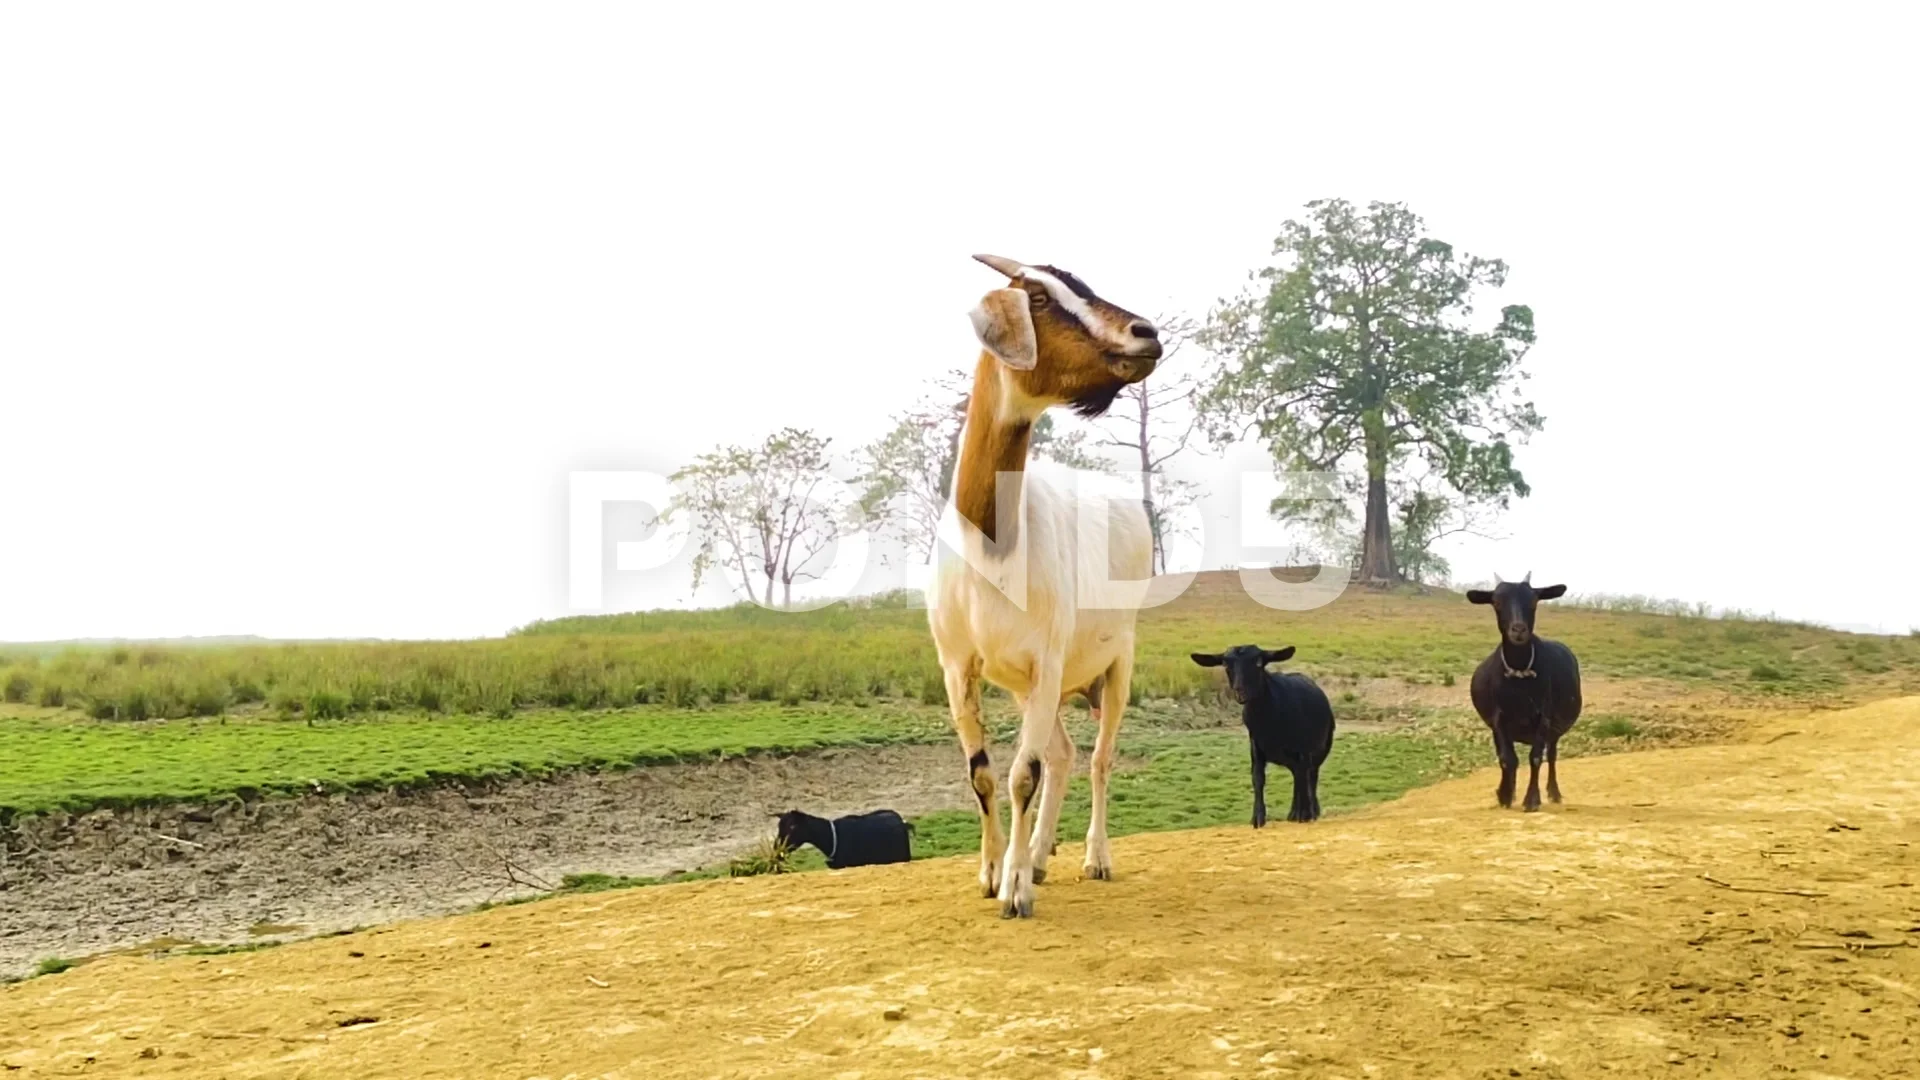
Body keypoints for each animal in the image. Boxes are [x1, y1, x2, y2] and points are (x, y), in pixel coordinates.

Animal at [925, 253, 1159, 914]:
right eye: (1041, 298)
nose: (1146, 333)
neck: (991, 544)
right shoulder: (959, 667)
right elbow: (984, 774)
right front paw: (991, 872)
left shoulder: (1047, 660)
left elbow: (1020, 775)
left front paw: (1015, 892)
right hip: (1032, 689)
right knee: (1062, 755)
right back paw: (1035, 856)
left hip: (1116, 661)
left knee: (1099, 758)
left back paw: (1091, 858)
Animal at [1182, 638, 1336, 822]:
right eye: (1225, 664)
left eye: (1258, 662)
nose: (1240, 692)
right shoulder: (1256, 747)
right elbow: (1258, 778)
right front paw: (1258, 818)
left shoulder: (1302, 749)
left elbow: (1303, 777)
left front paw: (1304, 814)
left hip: (1321, 748)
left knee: (1310, 776)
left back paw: (1310, 811)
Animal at [1474, 572, 1582, 807]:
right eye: (1496, 602)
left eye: (1534, 600)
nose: (1518, 630)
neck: (1519, 677)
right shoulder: (1498, 718)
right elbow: (1507, 759)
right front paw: (1505, 795)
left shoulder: (1544, 716)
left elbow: (1535, 757)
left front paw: (1532, 799)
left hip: (1555, 729)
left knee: (1551, 755)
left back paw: (1554, 792)